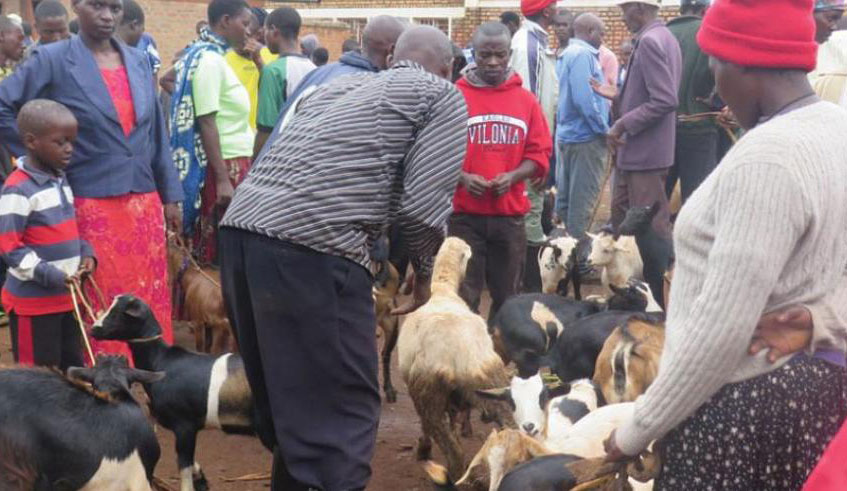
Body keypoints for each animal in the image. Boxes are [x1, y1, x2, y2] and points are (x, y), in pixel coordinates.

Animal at [91, 294, 255, 491]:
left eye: (117, 313)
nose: (93, 329)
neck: (160, 361)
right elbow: (189, 461)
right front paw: (201, 478)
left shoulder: (184, 425)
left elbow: (184, 465)